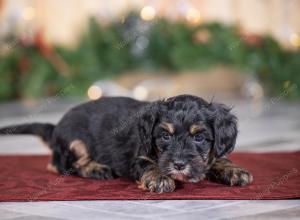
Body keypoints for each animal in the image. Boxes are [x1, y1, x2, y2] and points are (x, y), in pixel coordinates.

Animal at [0, 94, 253, 192]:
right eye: (165, 136)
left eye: (199, 137)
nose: (179, 165)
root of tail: (55, 129)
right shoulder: (138, 158)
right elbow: (150, 165)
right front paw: (160, 179)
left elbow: (217, 157)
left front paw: (234, 170)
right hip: (76, 142)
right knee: (62, 165)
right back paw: (97, 169)